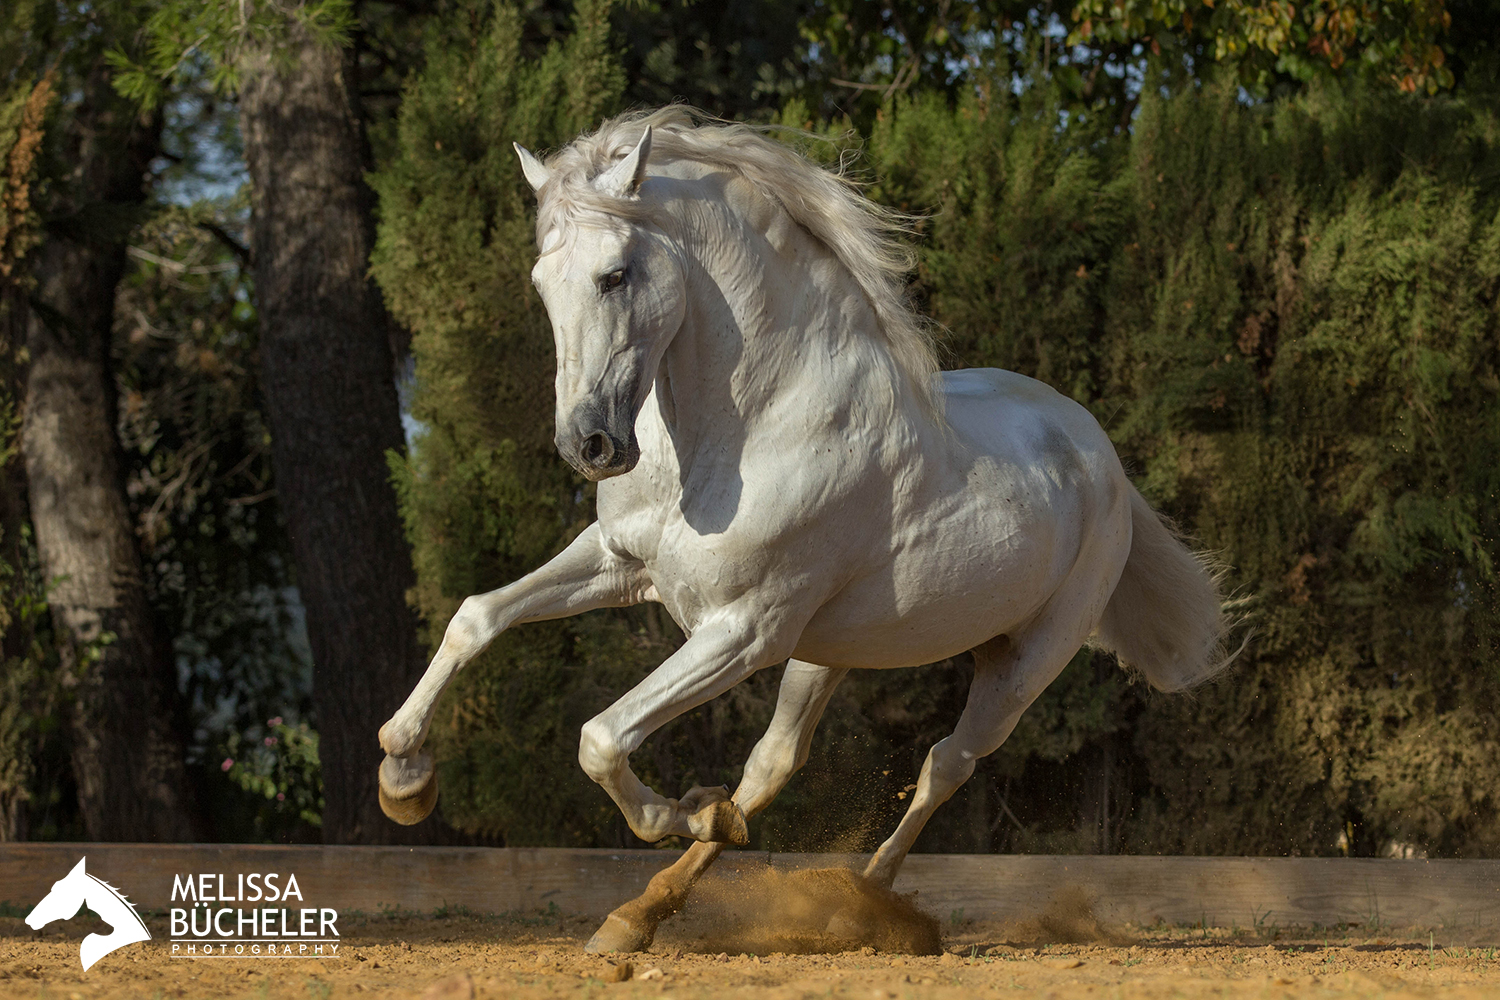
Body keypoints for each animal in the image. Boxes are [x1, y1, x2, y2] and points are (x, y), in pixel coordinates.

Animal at [375, 107, 1230, 953]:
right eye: (542, 282)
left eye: (614, 275)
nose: (587, 445)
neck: (745, 431)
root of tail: (1098, 455)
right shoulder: (619, 564)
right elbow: (476, 617)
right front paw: (403, 777)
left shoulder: (744, 630)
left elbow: (601, 737)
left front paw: (678, 808)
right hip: (829, 650)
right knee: (776, 763)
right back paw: (641, 912)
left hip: (1024, 663)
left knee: (944, 764)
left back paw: (866, 896)